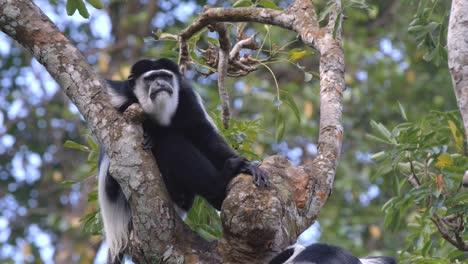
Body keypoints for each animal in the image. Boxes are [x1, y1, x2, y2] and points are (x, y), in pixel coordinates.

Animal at [97, 58, 268, 264]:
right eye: (151, 78)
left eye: (165, 76)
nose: (161, 84)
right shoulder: (121, 96)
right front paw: (151, 133)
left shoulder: (187, 97)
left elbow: (204, 135)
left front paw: (248, 166)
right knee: (170, 142)